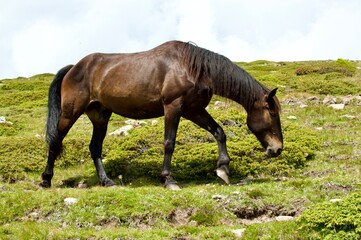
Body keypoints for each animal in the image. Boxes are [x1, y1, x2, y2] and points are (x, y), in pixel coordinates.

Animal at [40, 40, 282, 189]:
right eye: (271, 112)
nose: (277, 149)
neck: (191, 68)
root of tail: (74, 67)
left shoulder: (194, 110)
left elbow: (219, 132)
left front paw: (223, 169)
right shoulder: (173, 108)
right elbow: (169, 143)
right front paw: (168, 180)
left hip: (100, 116)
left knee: (95, 148)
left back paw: (106, 181)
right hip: (70, 113)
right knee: (55, 142)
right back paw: (46, 180)